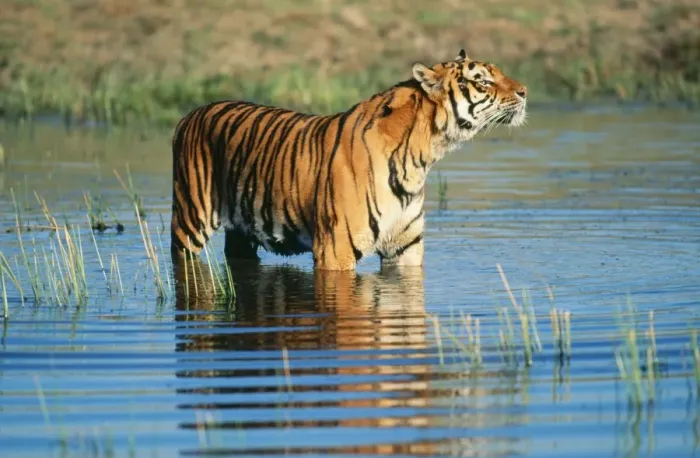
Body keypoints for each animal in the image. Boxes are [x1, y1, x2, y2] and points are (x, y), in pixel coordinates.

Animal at [170, 48, 527, 270]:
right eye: (483, 81)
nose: (524, 92)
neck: (422, 157)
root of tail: (190, 114)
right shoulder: (335, 249)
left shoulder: (406, 248)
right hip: (190, 220)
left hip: (243, 232)